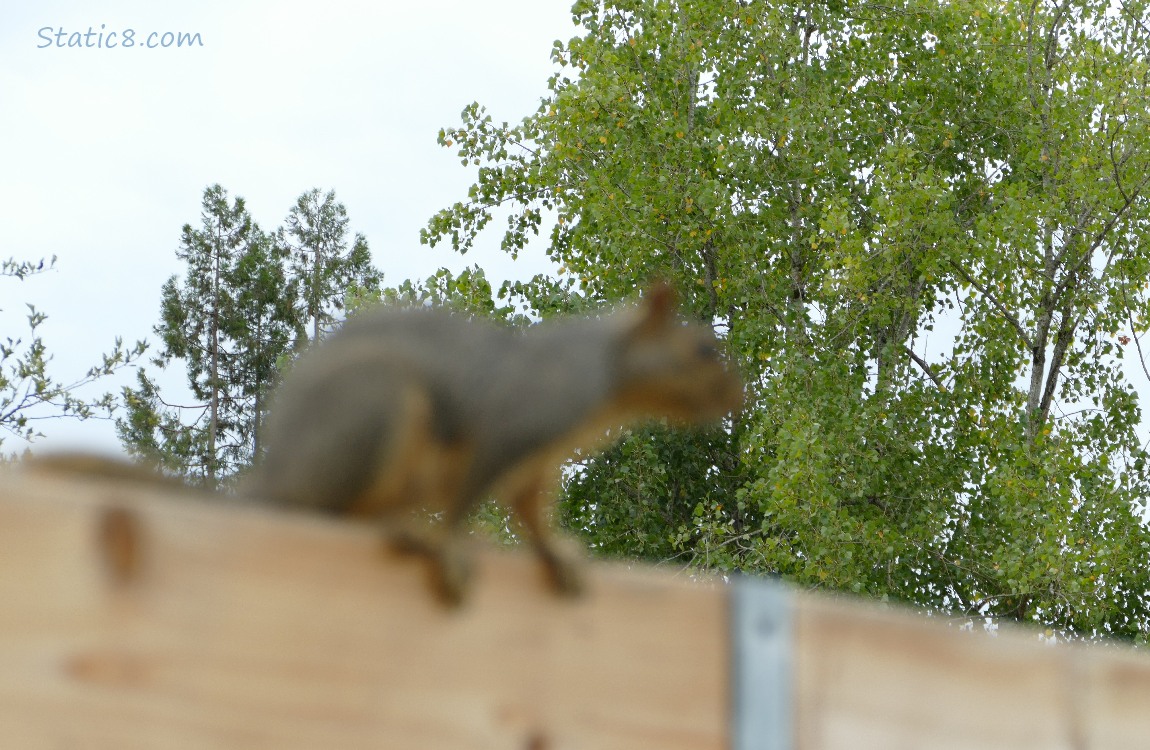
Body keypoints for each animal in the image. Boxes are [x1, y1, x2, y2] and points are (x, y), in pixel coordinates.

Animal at [27, 282, 743, 605]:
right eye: (702, 352)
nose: (737, 398)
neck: (603, 371)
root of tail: (277, 478)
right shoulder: (514, 426)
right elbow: (472, 495)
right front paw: (452, 547)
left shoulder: (535, 464)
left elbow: (532, 513)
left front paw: (560, 557)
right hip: (381, 411)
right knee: (341, 518)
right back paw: (413, 535)